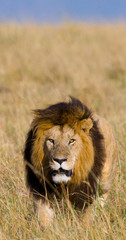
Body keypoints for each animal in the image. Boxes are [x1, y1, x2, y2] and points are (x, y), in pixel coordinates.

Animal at [23, 96, 116, 226]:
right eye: (51, 140)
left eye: (71, 141)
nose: (59, 160)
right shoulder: (41, 190)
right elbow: (44, 217)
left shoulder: (87, 191)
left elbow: (87, 217)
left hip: (105, 182)